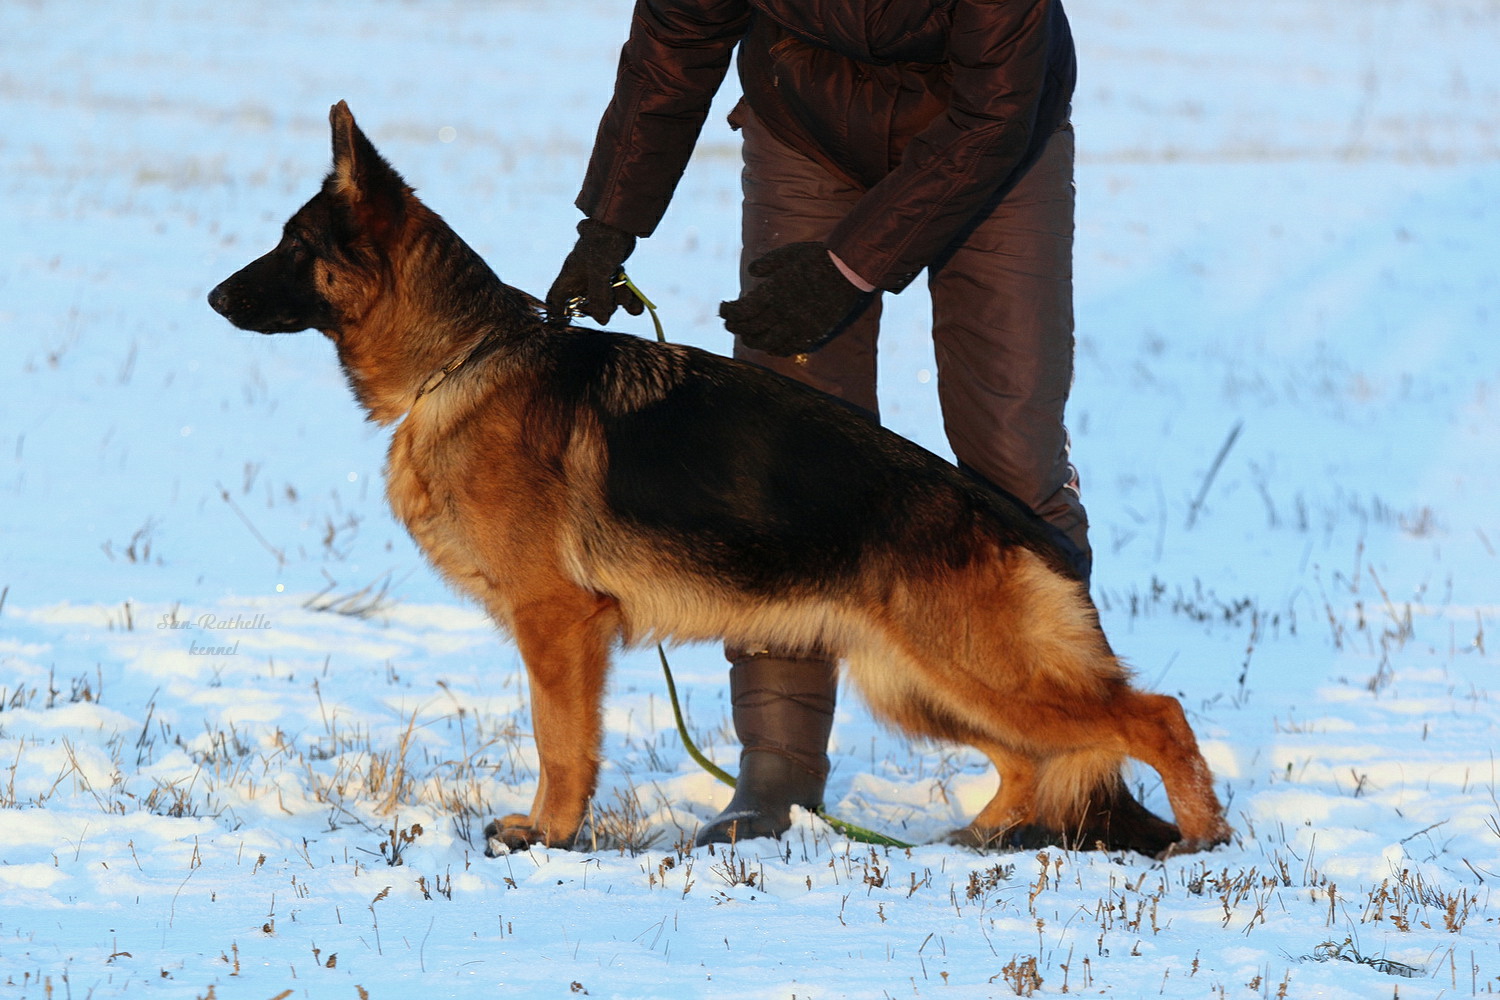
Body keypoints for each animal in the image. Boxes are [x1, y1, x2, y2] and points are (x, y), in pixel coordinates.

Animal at [205, 103, 1230, 863]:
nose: (212, 297)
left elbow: (559, 740)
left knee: (1153, 716)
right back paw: (972, 841)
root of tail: (1020, 525)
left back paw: (1202, 839)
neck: (462, 358)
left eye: (294, 246)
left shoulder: (558, 624)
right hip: (915, 681)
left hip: (974, 670)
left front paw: (548, 835)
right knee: (1031, 761)